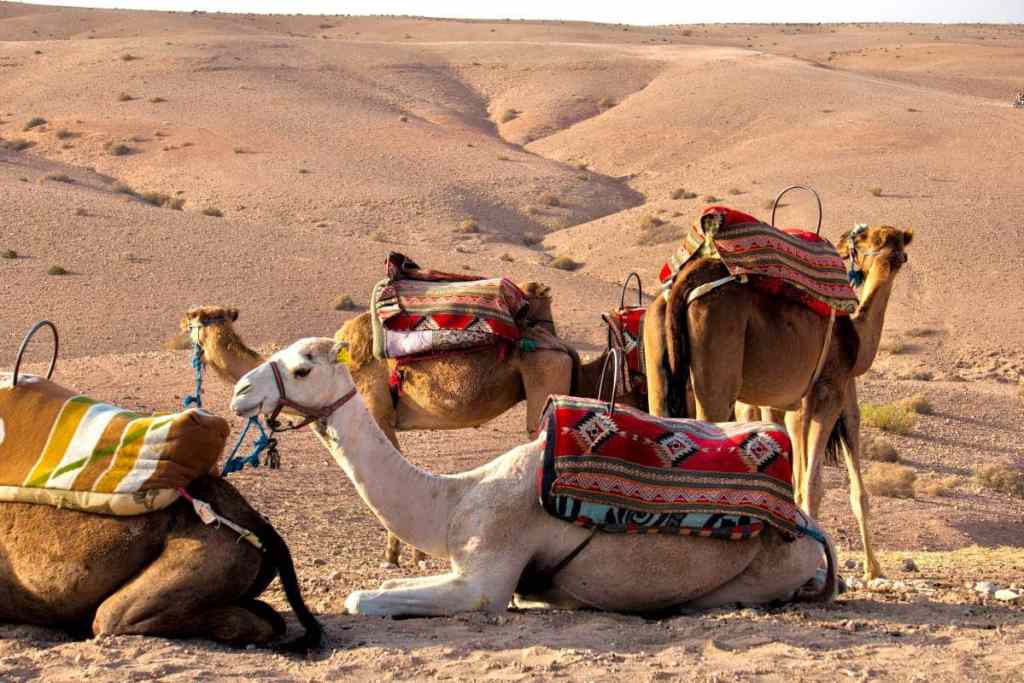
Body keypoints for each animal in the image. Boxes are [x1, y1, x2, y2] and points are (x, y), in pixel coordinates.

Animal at [181, 282, 575, 567]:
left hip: (544, 377)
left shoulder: (377, 412)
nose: (242, 391)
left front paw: (398, 556)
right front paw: (411, 553)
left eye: (197, 320)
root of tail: (562, 346)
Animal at [229, 337, 837, 618]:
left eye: (302, 368)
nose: (240, 391)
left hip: (756, 574)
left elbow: (364, 599)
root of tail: (809, 529)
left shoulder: (486, 573)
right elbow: (379, 589)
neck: (452, 497)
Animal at [644, 224, 913, 580]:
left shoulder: (785, 403)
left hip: (657, 356)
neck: (855, 336)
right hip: (717, 352)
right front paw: (837, 565)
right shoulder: (831, 389)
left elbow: (795, 477)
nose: (894, 258)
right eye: (868, 240)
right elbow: (817, 485)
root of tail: (682, 283)